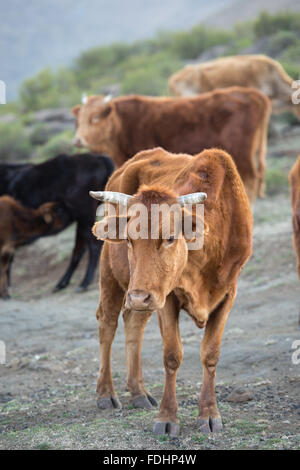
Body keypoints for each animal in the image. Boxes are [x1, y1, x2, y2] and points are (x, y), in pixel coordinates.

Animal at [0, 153, 114, 290]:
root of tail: (98, 157)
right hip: (81, 219)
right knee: (79, 249)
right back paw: (62, 283)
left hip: (84, 214)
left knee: (93, 246)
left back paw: (84, 283)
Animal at [72, 88, 270, 204]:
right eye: (79, 119)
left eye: (95, 118)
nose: (78, 140)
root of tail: (253, 93)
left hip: (242, 153)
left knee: (251, 178)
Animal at [90, 148, 252, 436]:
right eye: (129, 239)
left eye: (169, 237)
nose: (138, 296)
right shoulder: (167, 298)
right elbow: (172, 356)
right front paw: (167, 418)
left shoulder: (228, 293)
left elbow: (211, 354)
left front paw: (209, 414)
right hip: (116, 277)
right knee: (107, 324)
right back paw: (106, 393)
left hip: (144, 293)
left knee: (134, 324)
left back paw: (138, 392)